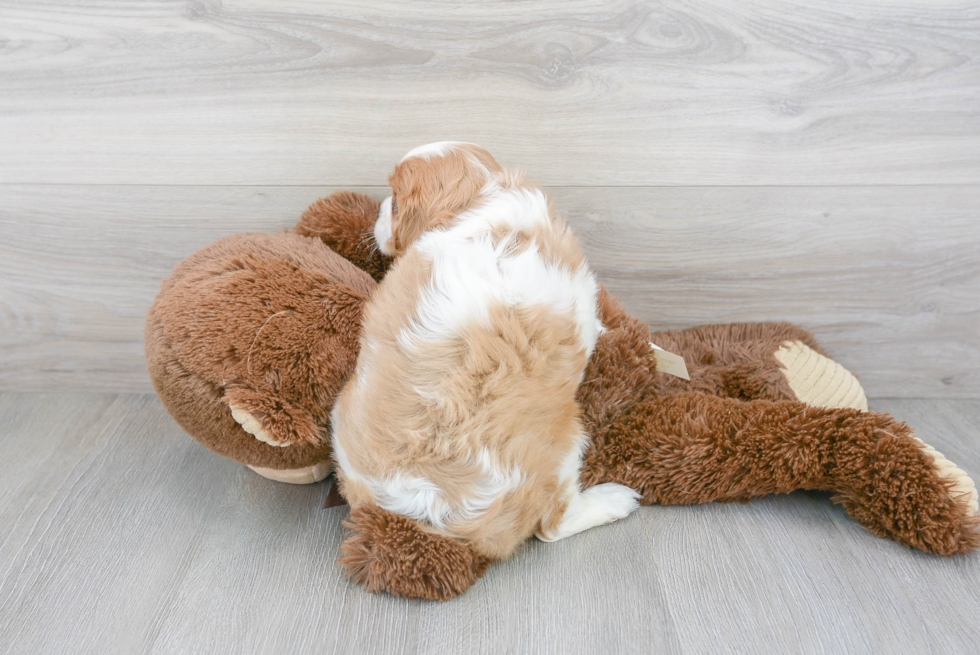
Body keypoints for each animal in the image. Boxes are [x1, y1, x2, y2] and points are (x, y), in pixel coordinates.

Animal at [330, 144, 640, 560]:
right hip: (565, 442)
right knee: (552, 527)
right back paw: (616, 500)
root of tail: (425, 511)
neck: (481, 200)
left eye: (393, 204)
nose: (378, 211)